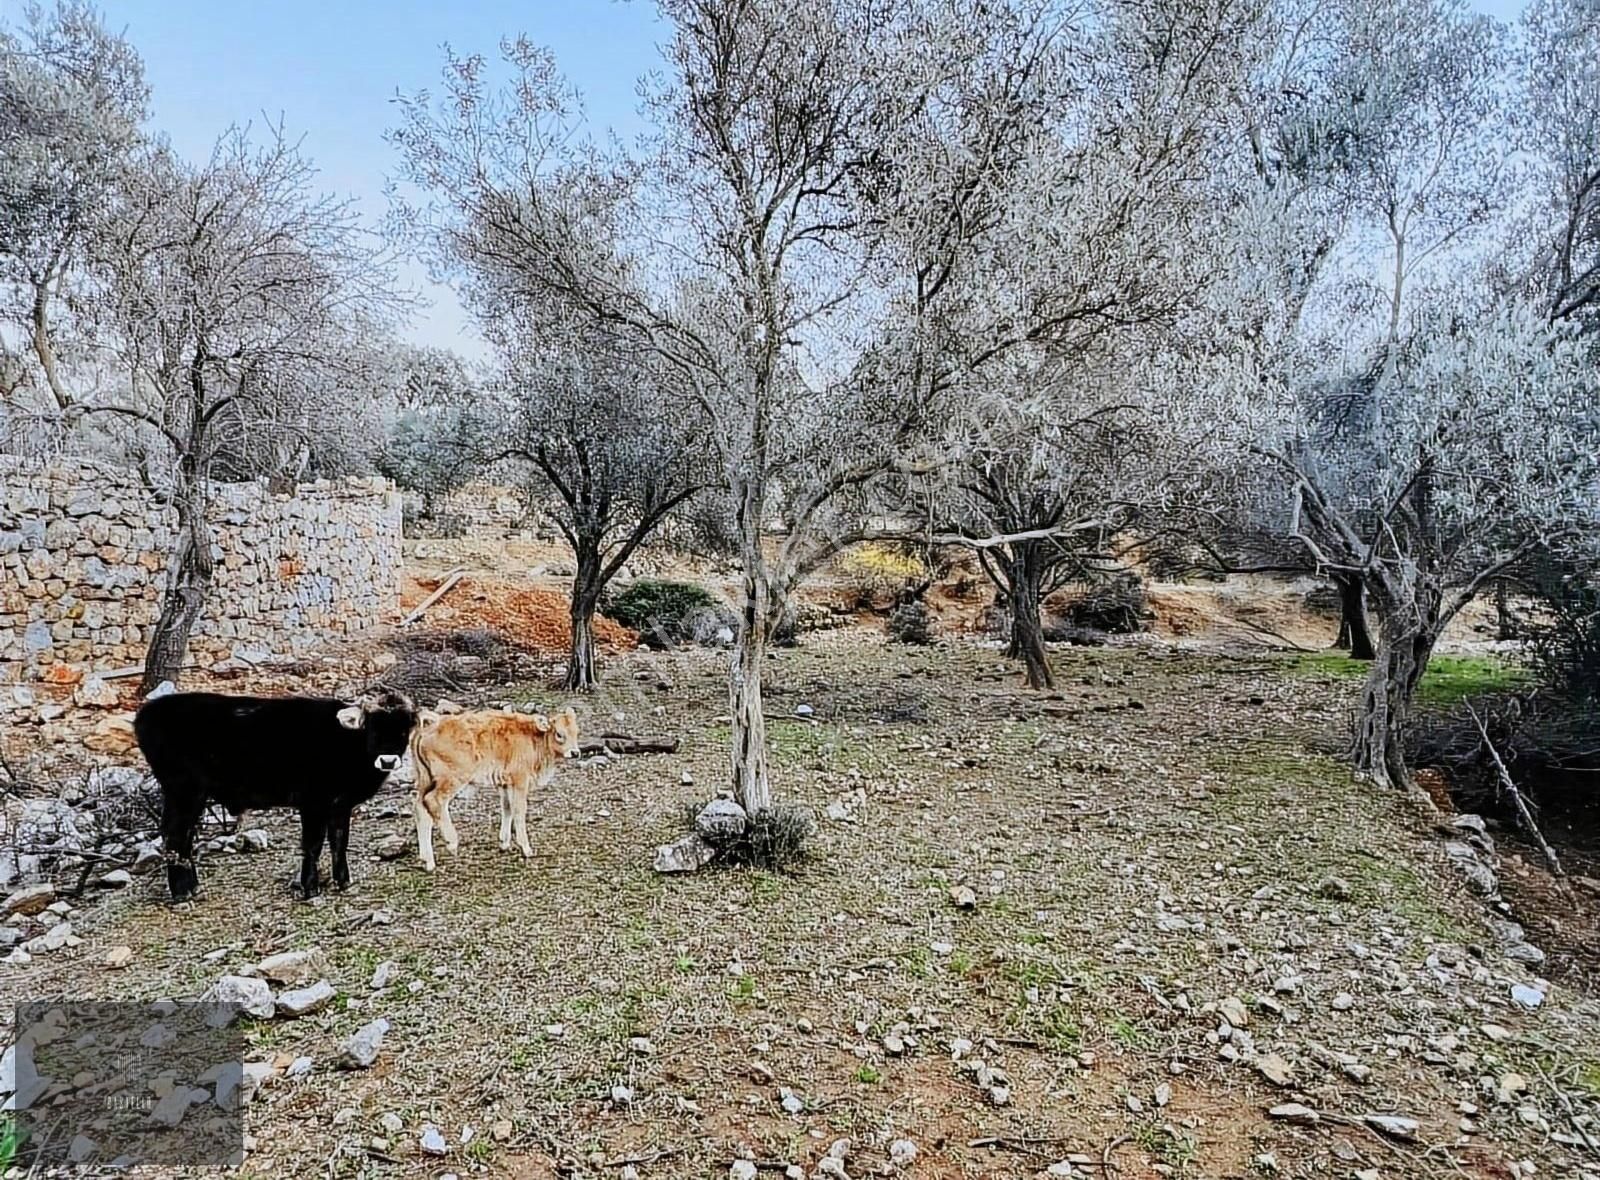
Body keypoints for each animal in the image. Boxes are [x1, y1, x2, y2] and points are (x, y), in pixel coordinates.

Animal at [136, 684, 419, 895]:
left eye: (404, 729)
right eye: (373, 727)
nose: (388, 761)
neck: (346, 742)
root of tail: (147, 713)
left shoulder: (340, 805)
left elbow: (340, 841)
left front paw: (343, 881)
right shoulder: (313, 802)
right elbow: (313, 844)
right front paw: (309, 887)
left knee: (181, 836)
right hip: (184, 791)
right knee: (175, 835)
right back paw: (182, 891)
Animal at [409, 703, 579, 869]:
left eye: (576, 732)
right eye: (559, 734)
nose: (575, 752)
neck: (534, 736)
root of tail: (426, 729)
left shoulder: (505, 784)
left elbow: (507, 808)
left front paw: (504, 843)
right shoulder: (519, 781)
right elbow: (518, 811)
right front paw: (526, 849)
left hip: (425, 780)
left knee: (420, 809)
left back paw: (428, 861)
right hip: (452, 779)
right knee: (434, 801)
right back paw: (451, 842)